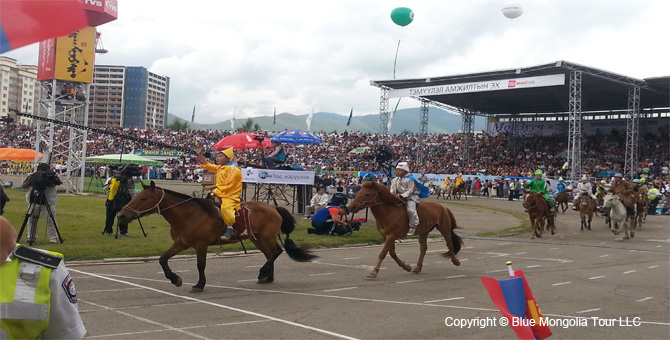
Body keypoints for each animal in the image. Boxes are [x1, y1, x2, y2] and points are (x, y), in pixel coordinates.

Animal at [118, 182, 318, 294]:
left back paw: (263, 273)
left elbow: (200, 265)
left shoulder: (201, 245)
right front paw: (175, 279)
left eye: (143, 199)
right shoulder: (181, 243)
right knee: (270, 254)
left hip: (265, 237)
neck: (188, 215)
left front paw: (199, 284)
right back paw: (267, 276)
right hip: (257, 238)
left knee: (275, 252)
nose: (122, 216)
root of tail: (274, 207)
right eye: (136, 195)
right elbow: (162, 259)